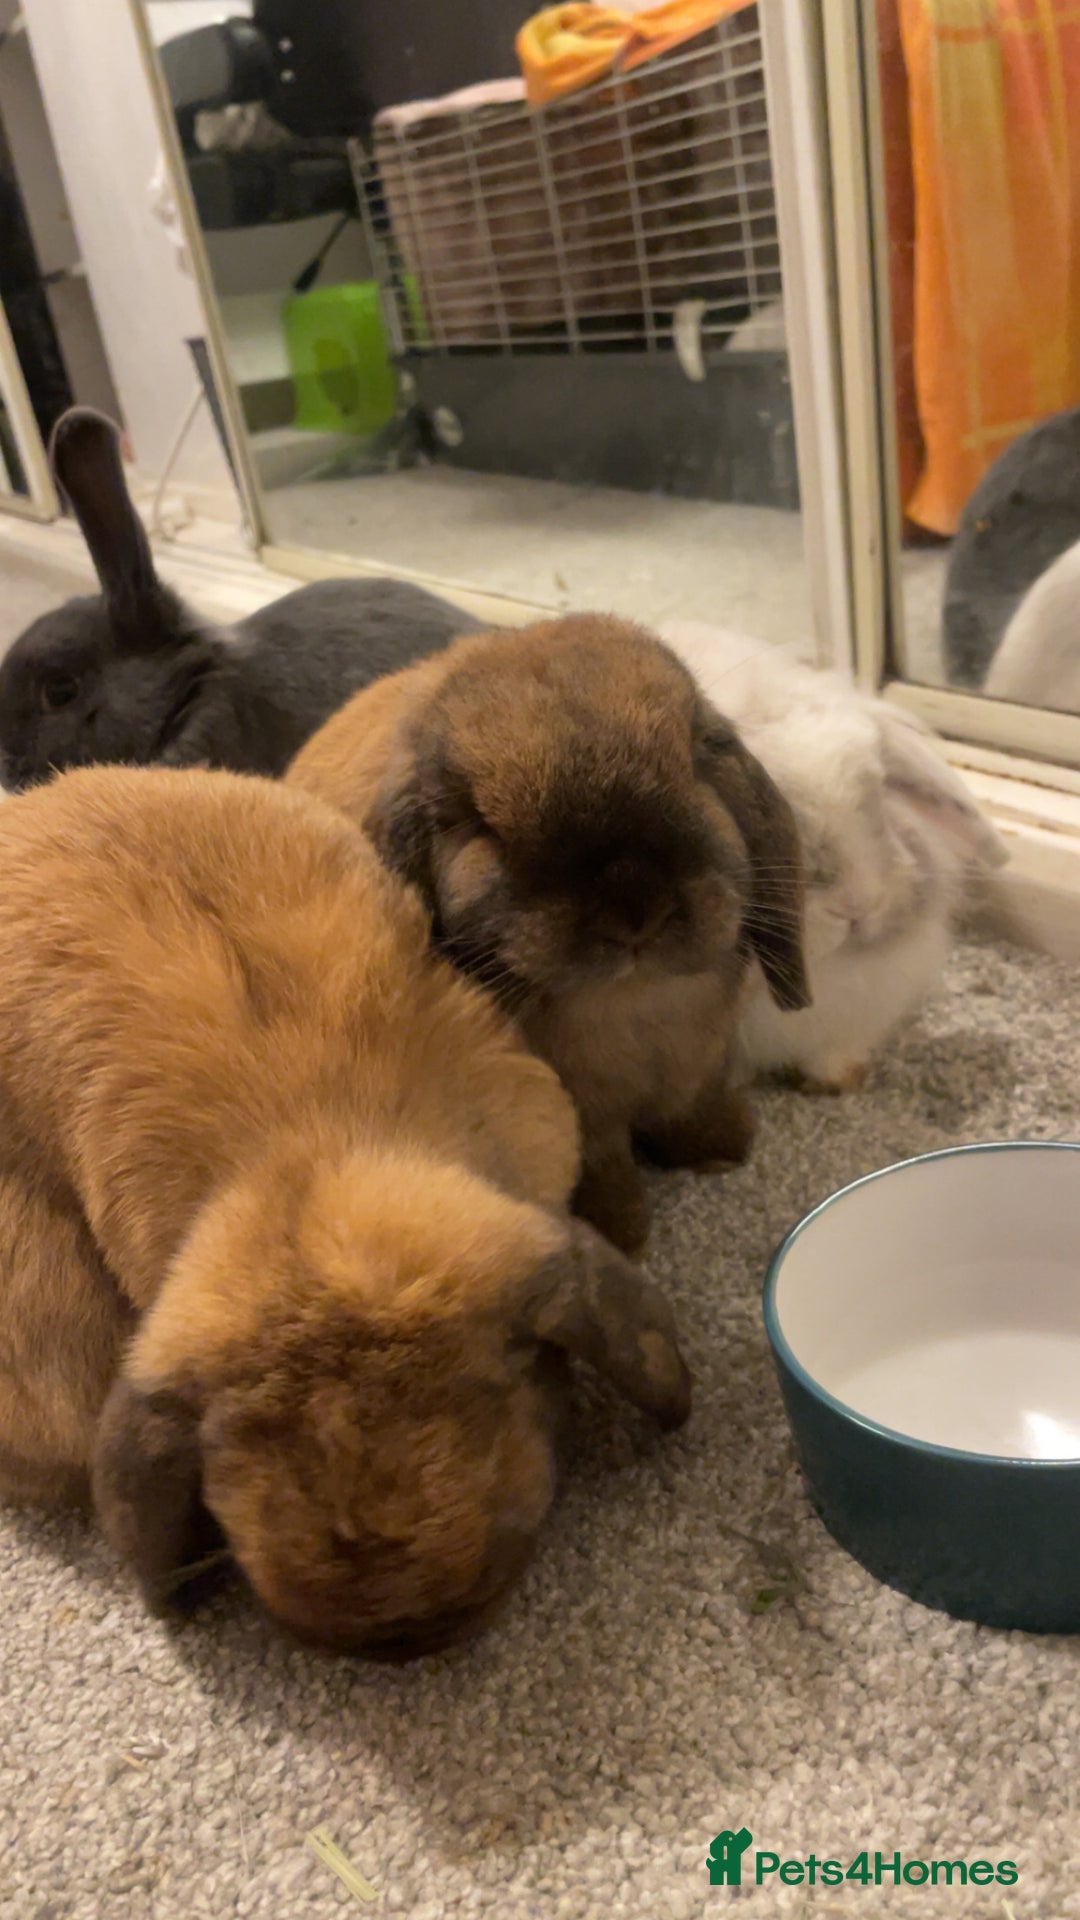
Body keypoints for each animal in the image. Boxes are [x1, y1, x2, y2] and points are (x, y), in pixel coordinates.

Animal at [287, 614, 809, 1255]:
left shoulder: (701, 1068)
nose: (635, 909)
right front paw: (622, 1237)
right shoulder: (582, 1120)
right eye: (473, 821)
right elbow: (602, 1168)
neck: (634, 1004)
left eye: (695, 759)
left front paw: (723, 1151)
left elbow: (694, 1105)